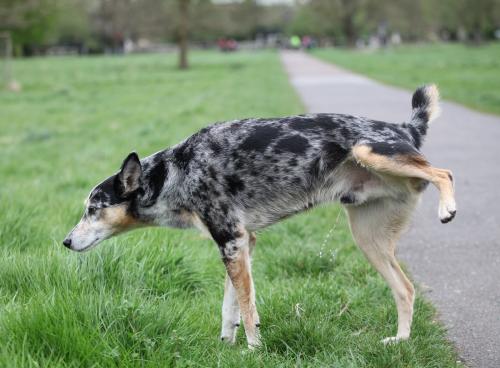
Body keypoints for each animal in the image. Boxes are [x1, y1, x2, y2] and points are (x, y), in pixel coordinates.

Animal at [63, 85, 458, 350]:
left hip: (369, 151)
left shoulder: (233, 241)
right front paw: (227, 343)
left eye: (94, 208)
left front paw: (254, 348)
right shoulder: (239, 244)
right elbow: (231, 306)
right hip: (368, 239)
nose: (66, 241)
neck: (175, 172)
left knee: (444, 172)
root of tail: (404, 128)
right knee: (405, 290)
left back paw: (447, 207)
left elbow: (247, 306)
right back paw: (401, 340)